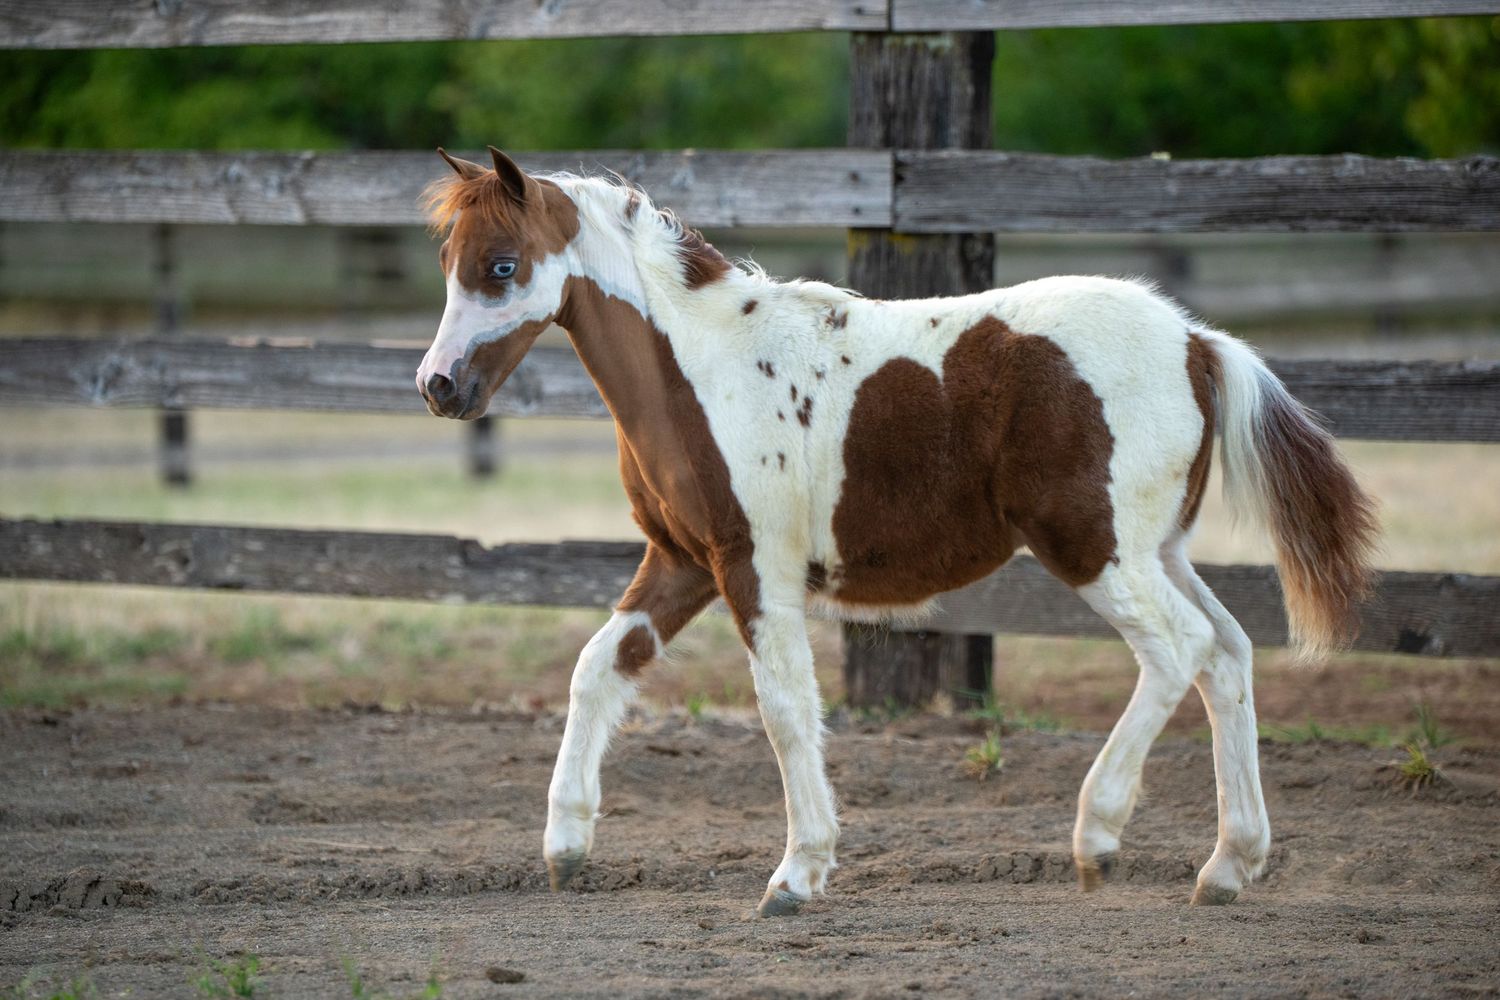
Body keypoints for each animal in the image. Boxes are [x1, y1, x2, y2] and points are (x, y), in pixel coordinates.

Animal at [415, 146, 1379, 917]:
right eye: (449, 262)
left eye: (502, 265)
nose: (437, 386)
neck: (704, 369)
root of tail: (1197, 343)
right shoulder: (683, 561)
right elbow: (596, 670)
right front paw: (565, 849)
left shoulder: (753, 568)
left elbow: (785, 711)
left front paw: (798, 876)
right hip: (1158, 551)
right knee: (1229, 654)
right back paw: (1229, 865)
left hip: (1096, 550)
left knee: (1180, 652)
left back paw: (1098, 837)